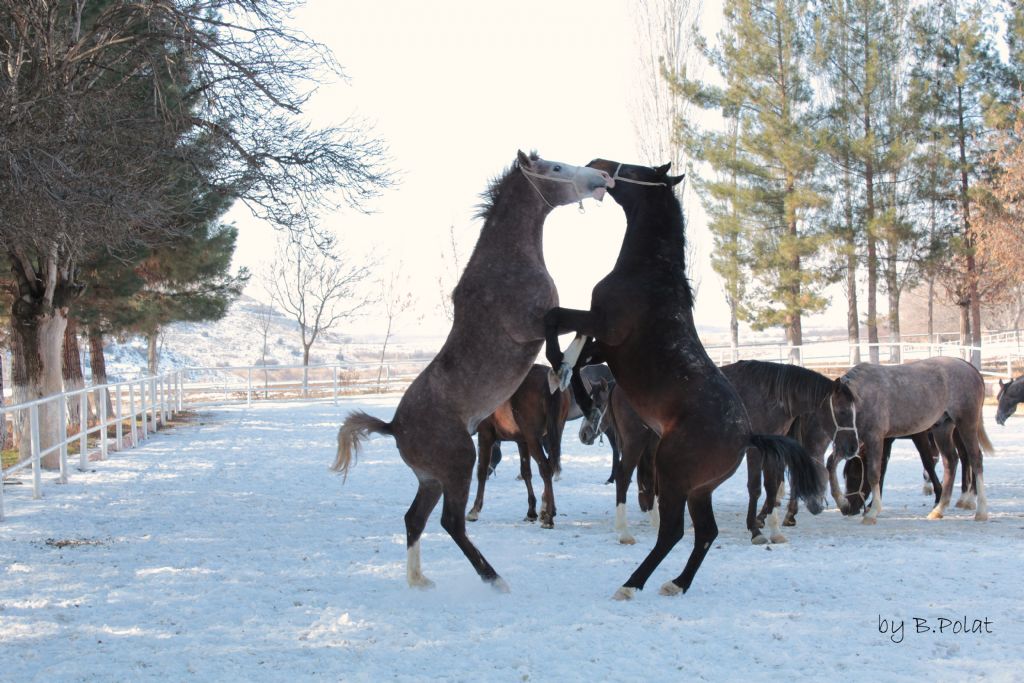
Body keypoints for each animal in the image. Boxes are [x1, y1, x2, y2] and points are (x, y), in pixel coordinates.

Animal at [331, 152, 610, 589]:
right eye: (555, 168)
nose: (602, 177)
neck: (506, 264)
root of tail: (393, 426)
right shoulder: (530, 324)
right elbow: (571, 321)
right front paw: (559, 369)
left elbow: (583, 323)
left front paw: (563, 371)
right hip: (460, 462)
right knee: (452, 522)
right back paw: (495, 580)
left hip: (431, 479)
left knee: (414, 520)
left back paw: (420, 581)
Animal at [544, 158, 823, 598]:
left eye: (636, 171)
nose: (597, 165)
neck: (651, 273)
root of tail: (747, 436)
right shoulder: (604, 345)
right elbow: (574, 349)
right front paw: (567, 376)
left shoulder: (603, 327)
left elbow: (554, 319)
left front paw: (565, 376)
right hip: (698, 489)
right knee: (705, 533)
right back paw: (676, 583)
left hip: (673, 476)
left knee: (674, 532)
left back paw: (631, 585)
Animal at [819, 358, 995, 524]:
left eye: (843, 411)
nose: (850, 509)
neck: (865, 396)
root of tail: (969, 367)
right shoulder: (859, 439)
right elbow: (831, 464)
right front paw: (842, 503)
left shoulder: (875, 438)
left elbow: (874, 473)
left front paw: (872, 511)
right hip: (942, 428)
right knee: (950, 461)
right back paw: (939, 509)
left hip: (966, 424)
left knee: (974, 459)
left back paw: (980, 510)